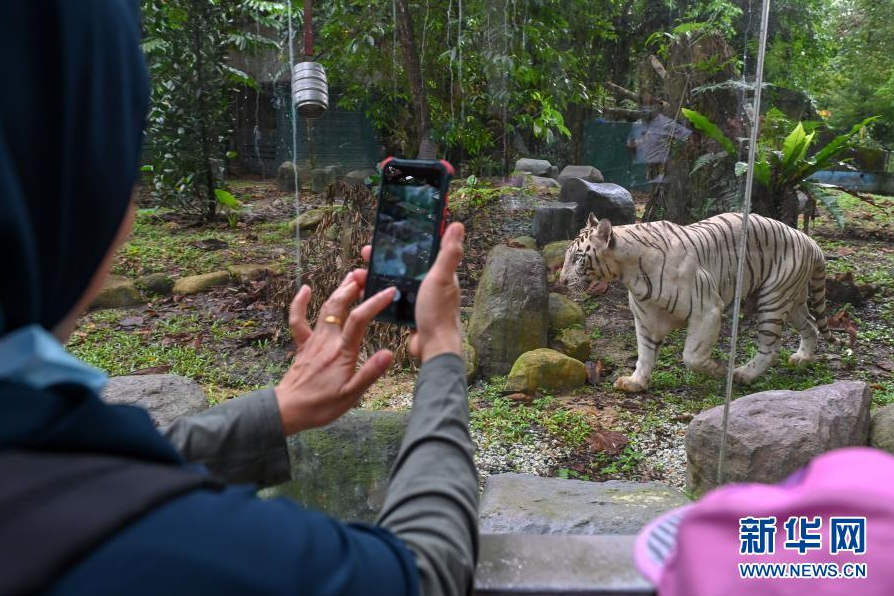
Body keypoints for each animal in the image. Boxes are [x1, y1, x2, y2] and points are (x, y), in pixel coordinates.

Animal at [560, 212, 848, 394]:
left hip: (773, 298)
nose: (561, 280)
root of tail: (810, 241)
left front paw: (721, 371)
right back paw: (802, 358)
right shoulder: (646, 318)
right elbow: (645, 354)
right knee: (811, 325)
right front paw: (636, 383)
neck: (629, 272)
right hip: (792, 299)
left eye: (577, 258)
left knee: (772, 347)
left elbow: (692, 355)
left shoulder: (707, 309)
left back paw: (743, 374)